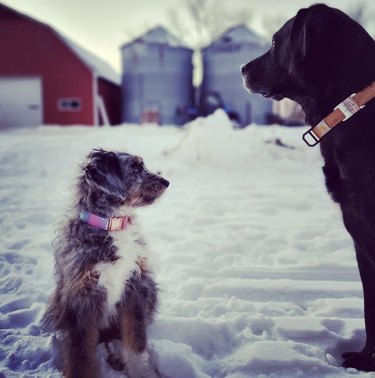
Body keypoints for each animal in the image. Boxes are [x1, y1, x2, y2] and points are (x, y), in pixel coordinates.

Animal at [43, 149, 170, 376]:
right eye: (135, 167)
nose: (166, 182)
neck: (111, 224)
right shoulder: (82, 297)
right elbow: (80, 354)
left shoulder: (135, 287)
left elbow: (136, 340)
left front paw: (142, 372)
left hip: (151, 289)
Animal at [242, 2, 375, 374]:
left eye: (275, 41)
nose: (242, 68)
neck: (352, 105)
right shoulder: (361, 244)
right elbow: (370, 311)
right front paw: (365, 360)